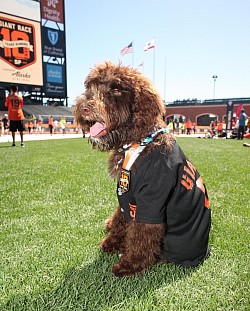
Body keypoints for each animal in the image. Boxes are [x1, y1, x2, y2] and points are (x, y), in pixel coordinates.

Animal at [74, 61, 211, 278]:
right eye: (91, 86)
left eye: (116, 88)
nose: (84, 107)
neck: (139, 141)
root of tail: (203, 253)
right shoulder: (126, 194)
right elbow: (121, 217)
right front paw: (111, 240)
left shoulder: (152, 198)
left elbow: (142, 233)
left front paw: (131, 264)